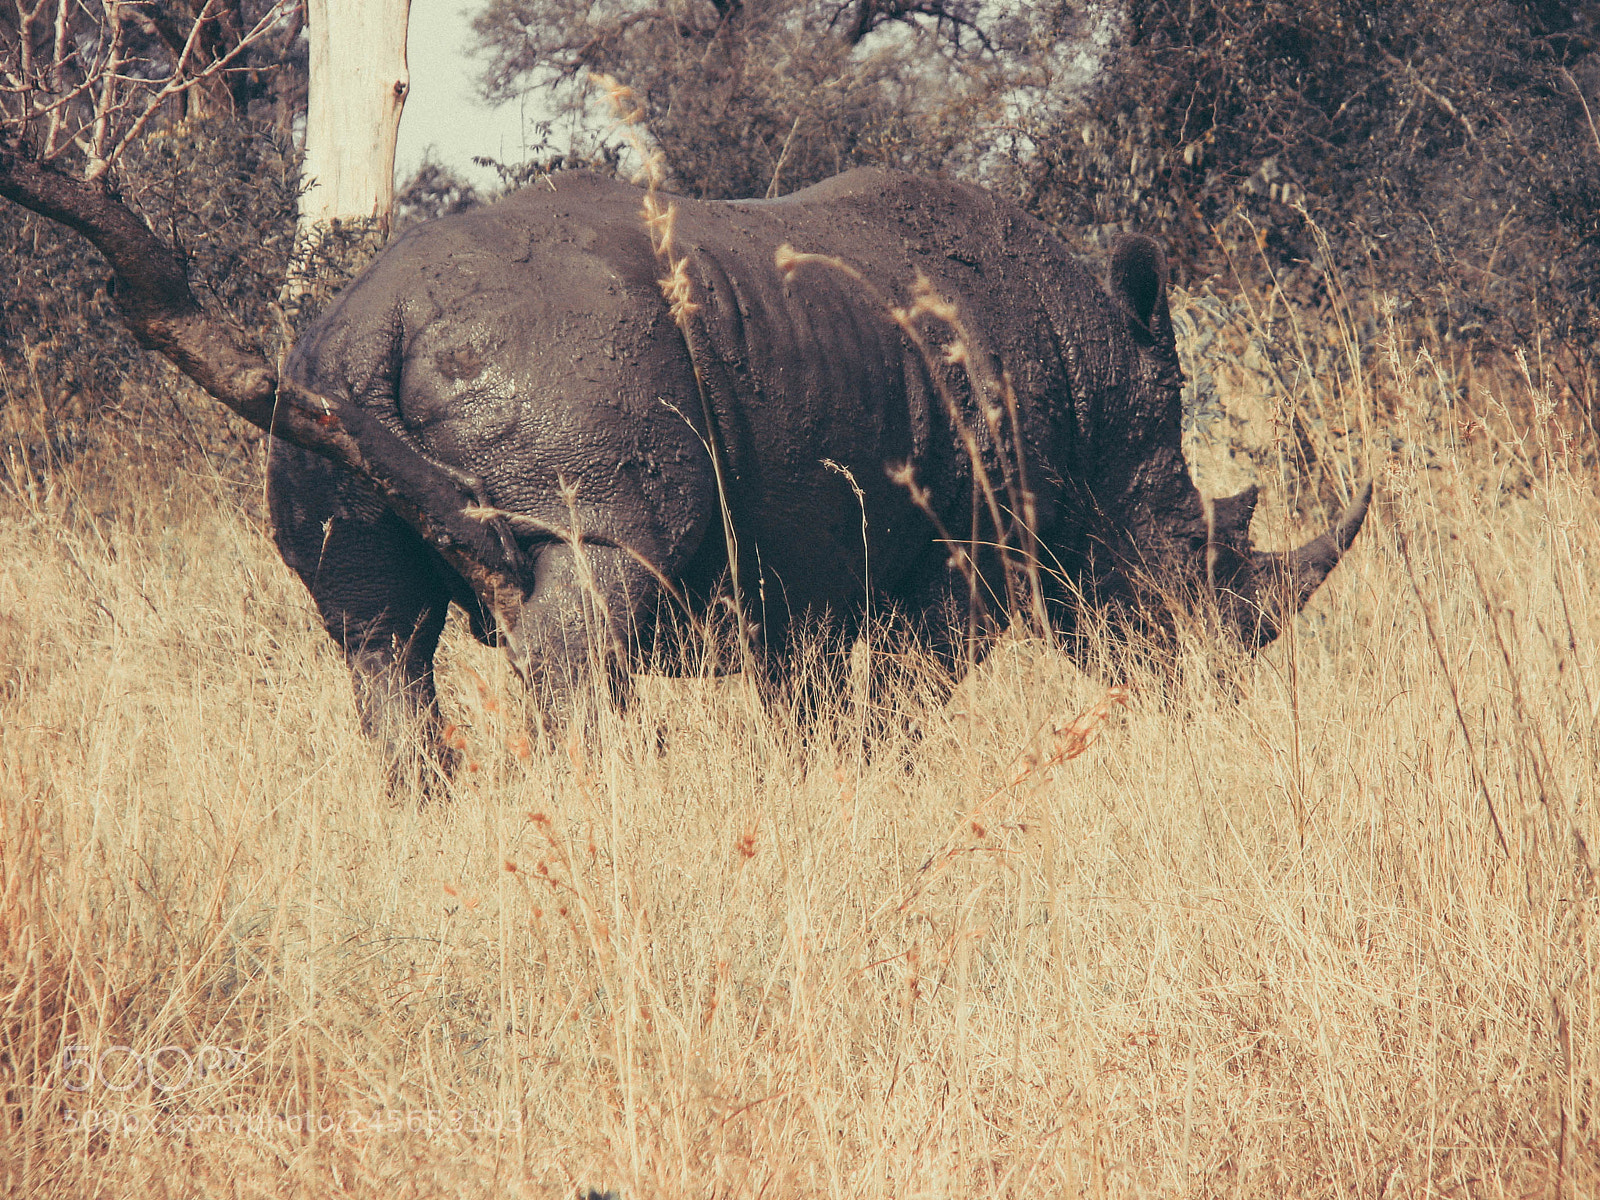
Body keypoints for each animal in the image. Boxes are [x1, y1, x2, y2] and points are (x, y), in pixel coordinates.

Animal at [268, 167, 1370, 767]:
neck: (1095, 400)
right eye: (1195, 562)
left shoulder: (802, 563)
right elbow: (913, 684)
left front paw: (825, 780)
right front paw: (890, 777)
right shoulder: (973, 550)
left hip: (319, 387)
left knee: (380, 639)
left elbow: (810, 698)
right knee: (591, 589)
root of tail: (378, 319)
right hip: (570, 375)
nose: (1217, 696)